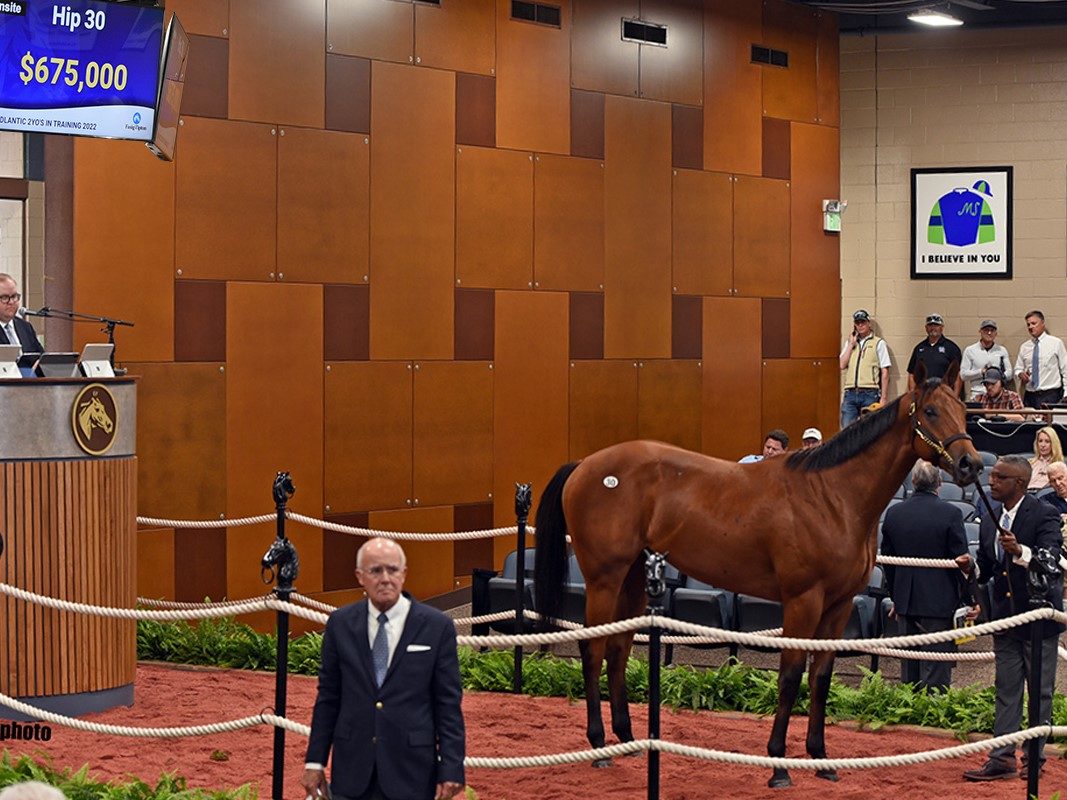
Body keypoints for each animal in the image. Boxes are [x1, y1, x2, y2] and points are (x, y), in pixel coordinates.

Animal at [533, 364, 981, 789]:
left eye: (964, 411)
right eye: (931, 411)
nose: (970, 464)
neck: (832, 496)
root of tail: (585, 465)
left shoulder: (838, 606)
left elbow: (820, 678)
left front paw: (821, 760)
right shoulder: (803, 600)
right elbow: (790, 676)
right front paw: (778, 766)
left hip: (633, 581)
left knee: (617, 651)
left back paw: (627, 741)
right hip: (604, 580)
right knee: (593, 650)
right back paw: (598, 746)